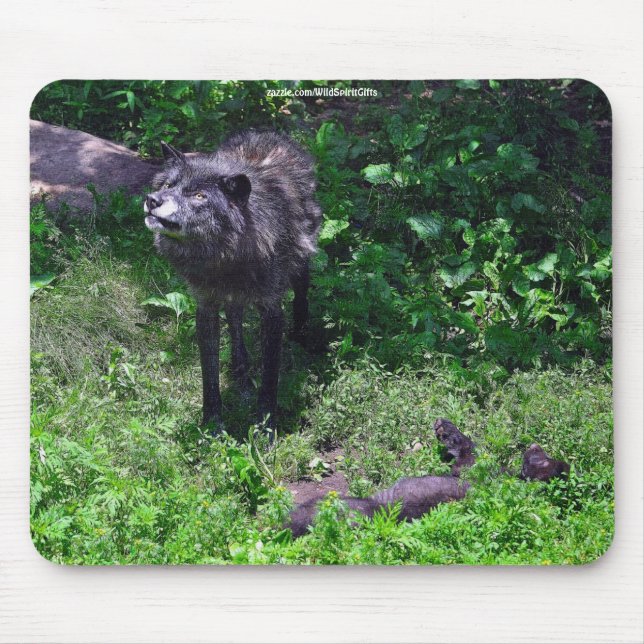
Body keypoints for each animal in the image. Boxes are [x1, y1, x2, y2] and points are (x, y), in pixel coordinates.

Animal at [144, 130, 322, 431]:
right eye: (168, 184)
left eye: (199, 196)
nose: (152, 200)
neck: (226, 256)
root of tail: (266, 134)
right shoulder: (206, 306)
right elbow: (209, 374)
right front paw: (212, 425)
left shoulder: (272, 310)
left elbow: (270, 378)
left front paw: (265, 428)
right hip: (233, 298)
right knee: (235, 320)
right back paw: (242, 376)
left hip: (301, 265)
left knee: (301, 296)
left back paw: (300, 338)